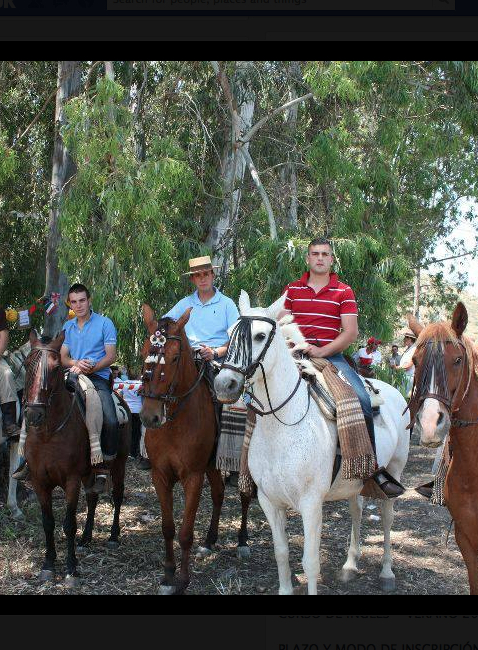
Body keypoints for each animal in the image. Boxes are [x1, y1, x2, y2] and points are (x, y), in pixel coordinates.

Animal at [23, 330, 130, 584]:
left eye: (55, 368)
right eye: (27, 364)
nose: (33, 414)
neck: (48, 434)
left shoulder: (71, 480)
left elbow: (69, 524)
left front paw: (71, 568)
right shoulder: (39, 481)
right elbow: (48, 523)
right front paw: (48, 565)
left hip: (119, 464)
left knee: (118, 495)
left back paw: (113, 536)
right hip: (89, 472)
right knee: (92, 498)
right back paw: (86, 538)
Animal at [140, 306, 252, 596]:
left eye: (174, 357)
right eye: (144, 351)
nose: (149, 416)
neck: (176, 421)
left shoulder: (192, 477)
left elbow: (185, 532)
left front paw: (182, 579)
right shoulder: (160, 475)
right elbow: (168, 528)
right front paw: (168, 574)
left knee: (245, 496)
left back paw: (242, 541)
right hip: (211, 465)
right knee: (219, 493)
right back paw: (210, 540)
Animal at [215, 292, 408, 596]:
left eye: (260, 336)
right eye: (229, 334)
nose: (225, 385)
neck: (283, 425)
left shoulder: (311, 504)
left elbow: (310, 562)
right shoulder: (270, 501)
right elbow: (281, 552)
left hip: (396, 469)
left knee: (387, 517)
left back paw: (387, 572)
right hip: (355, 481)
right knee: (357, 511)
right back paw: (350, 565)